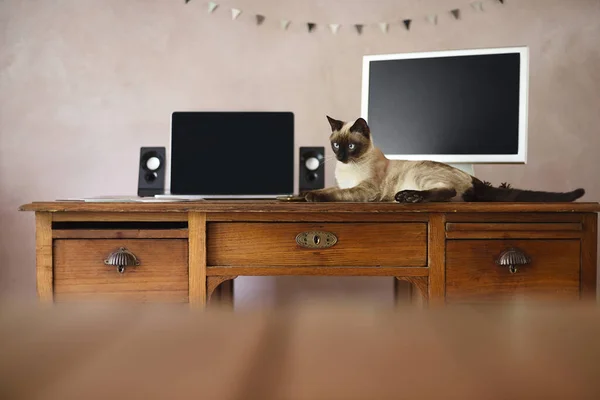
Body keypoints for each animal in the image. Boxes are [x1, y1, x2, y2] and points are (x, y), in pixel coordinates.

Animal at [302, 115, 584, 203]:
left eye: (351, 146)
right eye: (336, 145)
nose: (340, 156)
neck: (347, 171)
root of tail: (473, 178)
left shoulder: (363, 190)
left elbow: (332, 194)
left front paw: (312, 197)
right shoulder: (343, 185)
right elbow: (326, 189)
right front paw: (302, 196)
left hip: (420, 175)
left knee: (447, 192)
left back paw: (408, 197)